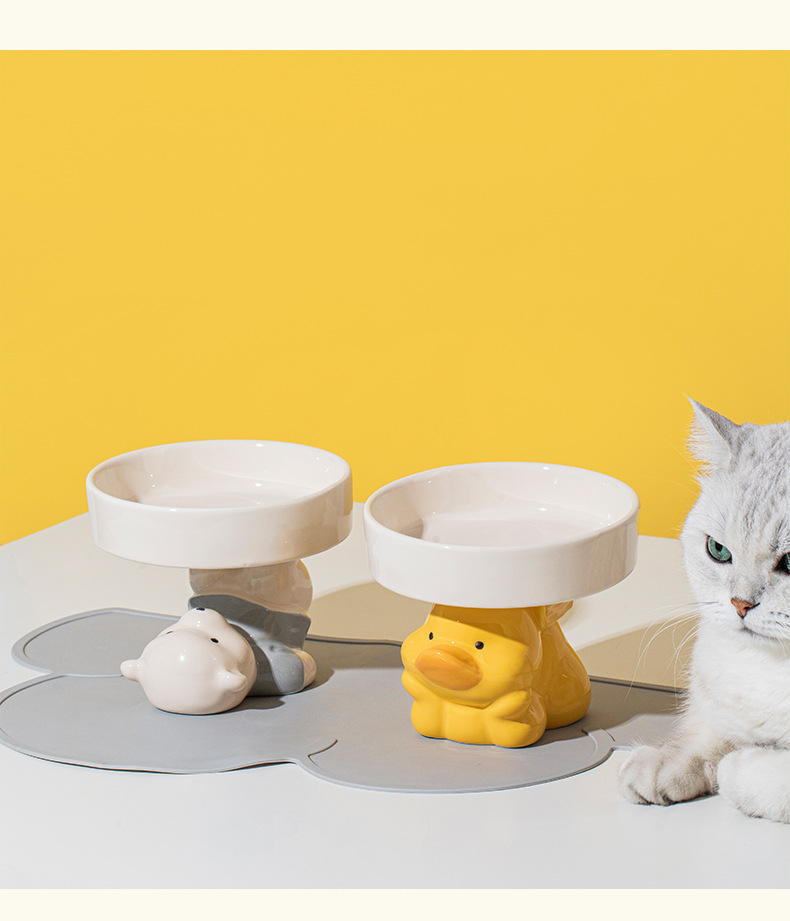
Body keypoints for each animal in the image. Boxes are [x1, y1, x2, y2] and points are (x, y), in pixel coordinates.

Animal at [618, 400, 790, 823]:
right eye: (718, 550)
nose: (741, 604)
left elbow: (762, 778)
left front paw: (741, 765)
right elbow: (704, 733)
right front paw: (663, 764)